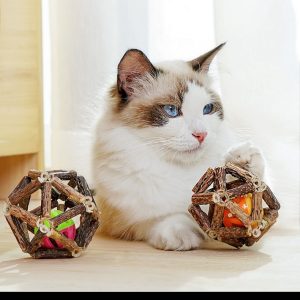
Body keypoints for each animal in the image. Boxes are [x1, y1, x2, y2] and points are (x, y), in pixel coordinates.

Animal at [92, 44, 266, 251]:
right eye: (171, 111)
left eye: (207, 109)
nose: (201, 134)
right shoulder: (125, 219)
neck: (181, 171)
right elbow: (164, 218)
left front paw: (244, 161)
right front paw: (181, 236)